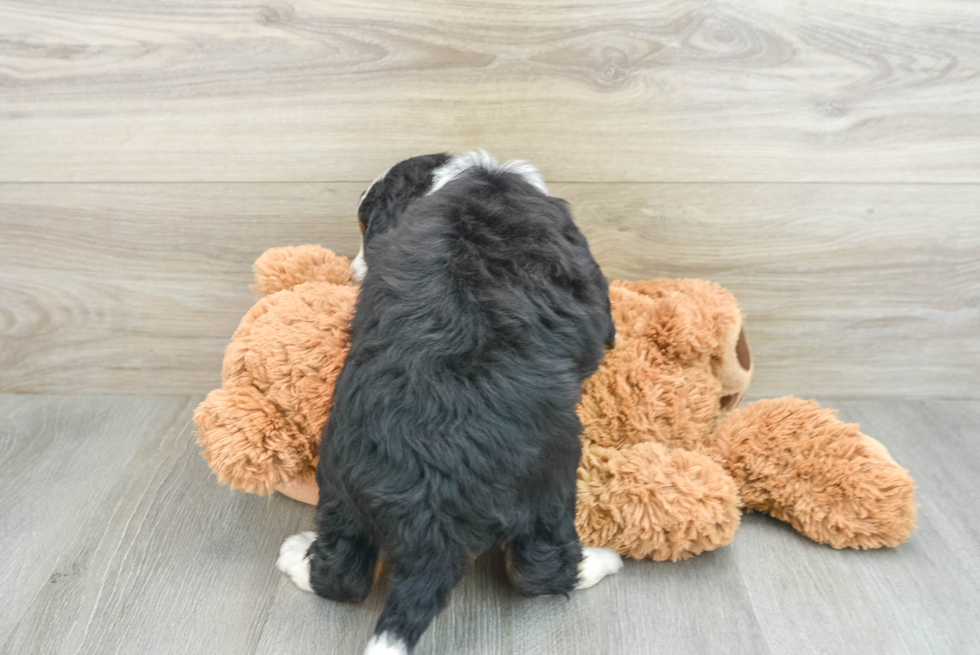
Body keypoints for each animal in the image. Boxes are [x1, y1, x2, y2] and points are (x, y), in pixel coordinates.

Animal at [276, 151, 624, 652]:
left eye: (366, 228)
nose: (355, 269)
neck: (475, 182)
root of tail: (430, 514)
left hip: (339, 484)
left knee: (344, 573)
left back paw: (296, 557)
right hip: (551, 477)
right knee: (539, 568)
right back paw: (603, 561)